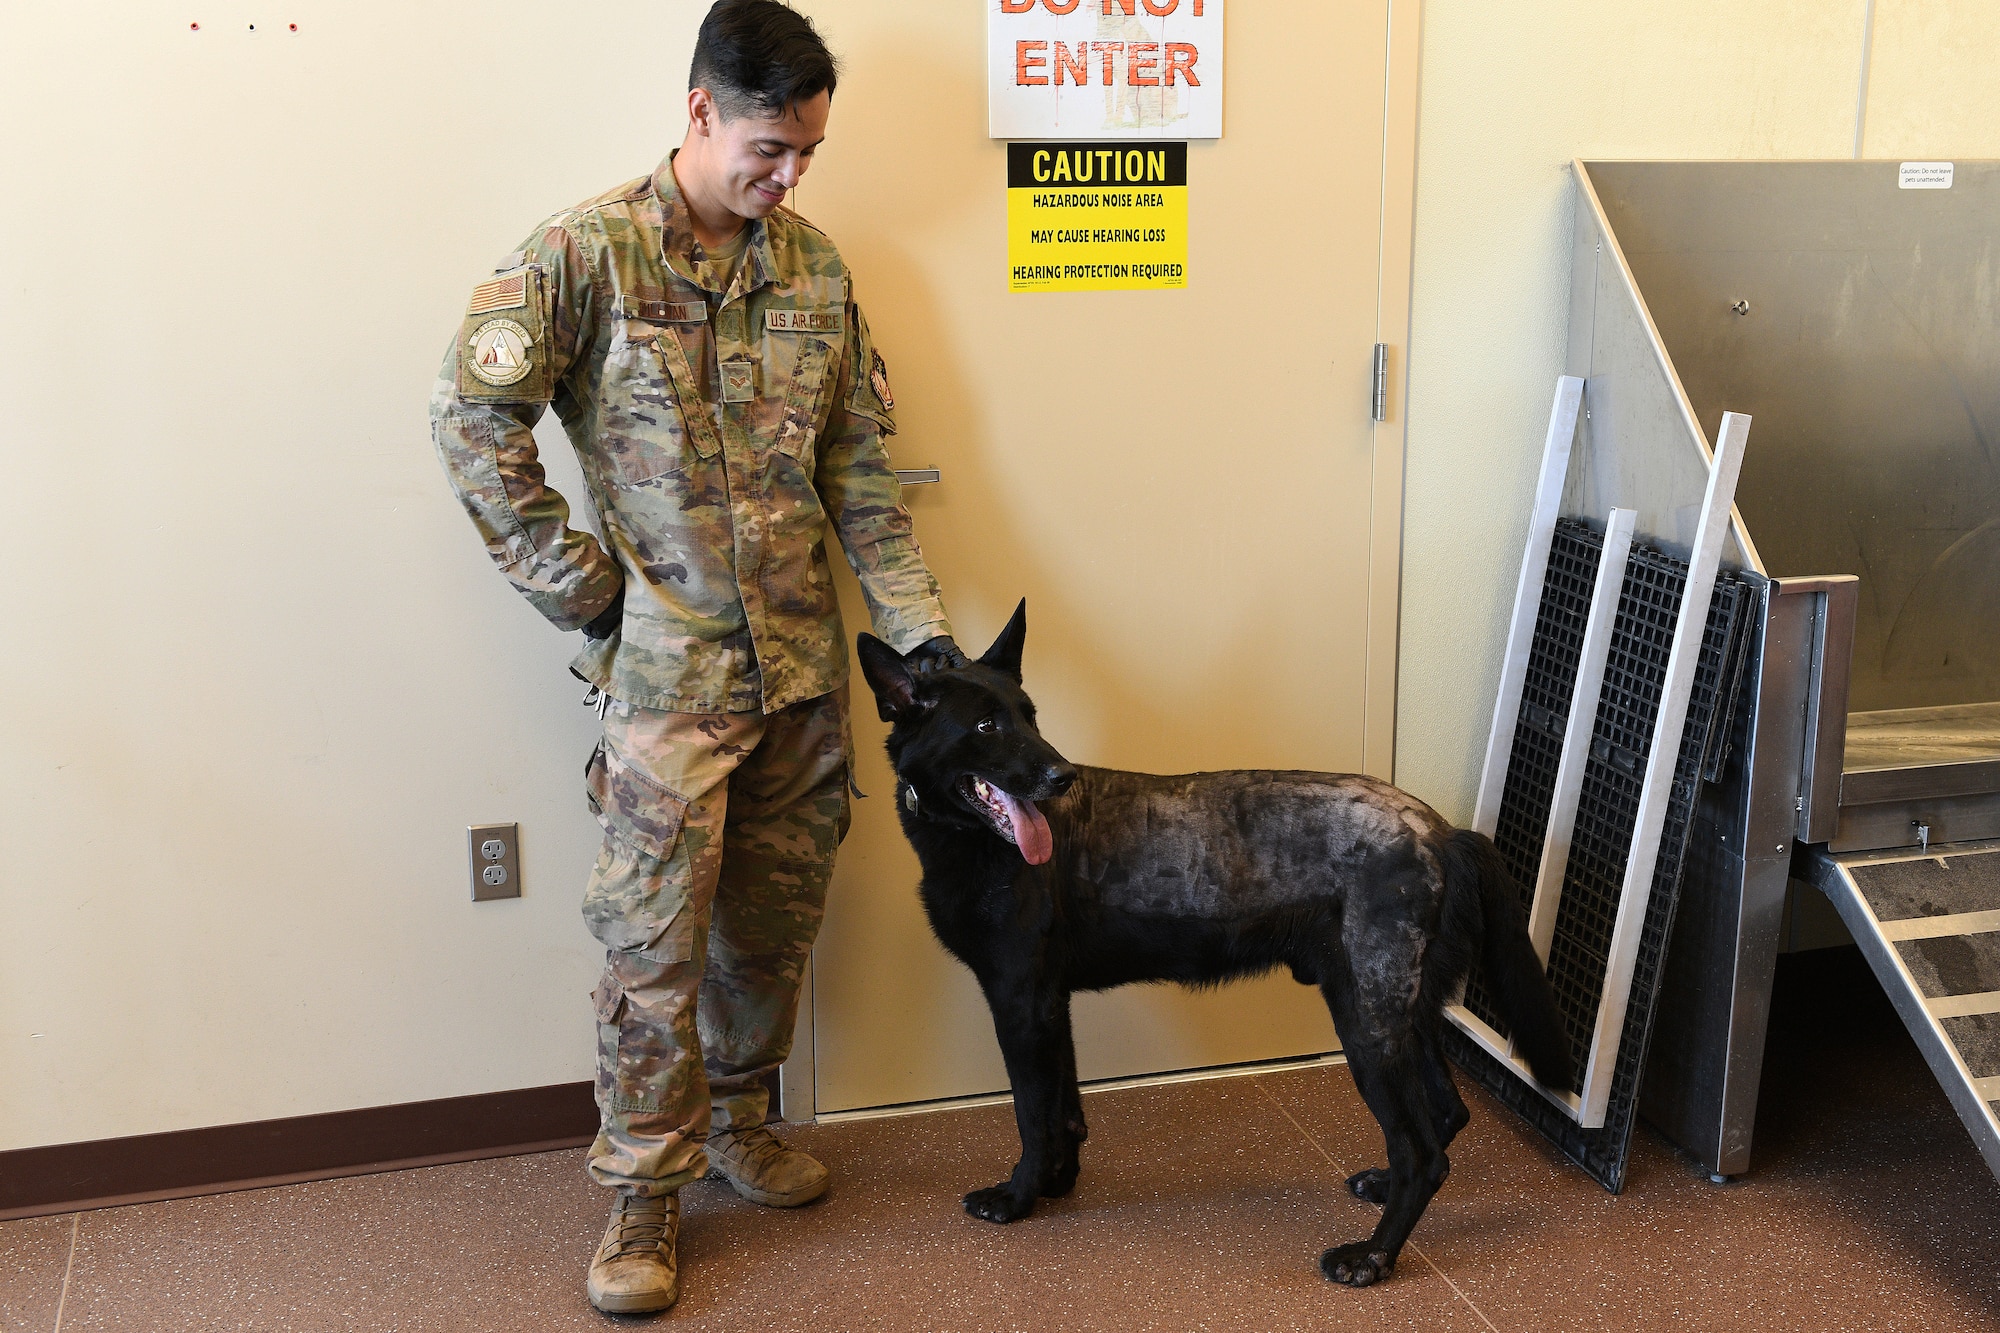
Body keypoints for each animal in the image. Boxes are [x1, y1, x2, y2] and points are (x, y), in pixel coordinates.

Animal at [860, 600, 1576, 1280]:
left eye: (1029, 717)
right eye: (987, 726)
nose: (1061, 776)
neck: (976, 841)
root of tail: (1442, 832)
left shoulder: (1020, 1003)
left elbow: (1033, 1117)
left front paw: (1017, 1199)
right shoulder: (1049, 1003)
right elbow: (1065, 1110)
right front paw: (1058, 1186)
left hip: (1368, 1023)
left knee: (1423, 1154)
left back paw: (1371, 1258)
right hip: (1398, 1011)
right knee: (1447, 1114)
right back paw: (1381, 1189)